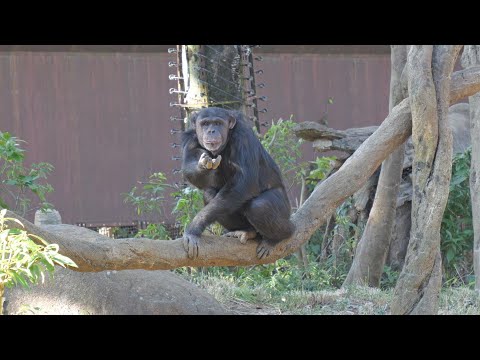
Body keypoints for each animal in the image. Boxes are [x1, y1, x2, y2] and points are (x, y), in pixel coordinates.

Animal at [180, 106, 292, 258]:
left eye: (218, 123)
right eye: (205, 124)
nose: (211, 131)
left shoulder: (243, 136)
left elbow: (245, 182)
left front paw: (194, 227)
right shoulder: (190, 140)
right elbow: (189, 170)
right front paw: (203, 164)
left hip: (285, 207)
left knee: (260, 206)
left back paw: (278, 237)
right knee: (209, 195)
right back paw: (247, 231)